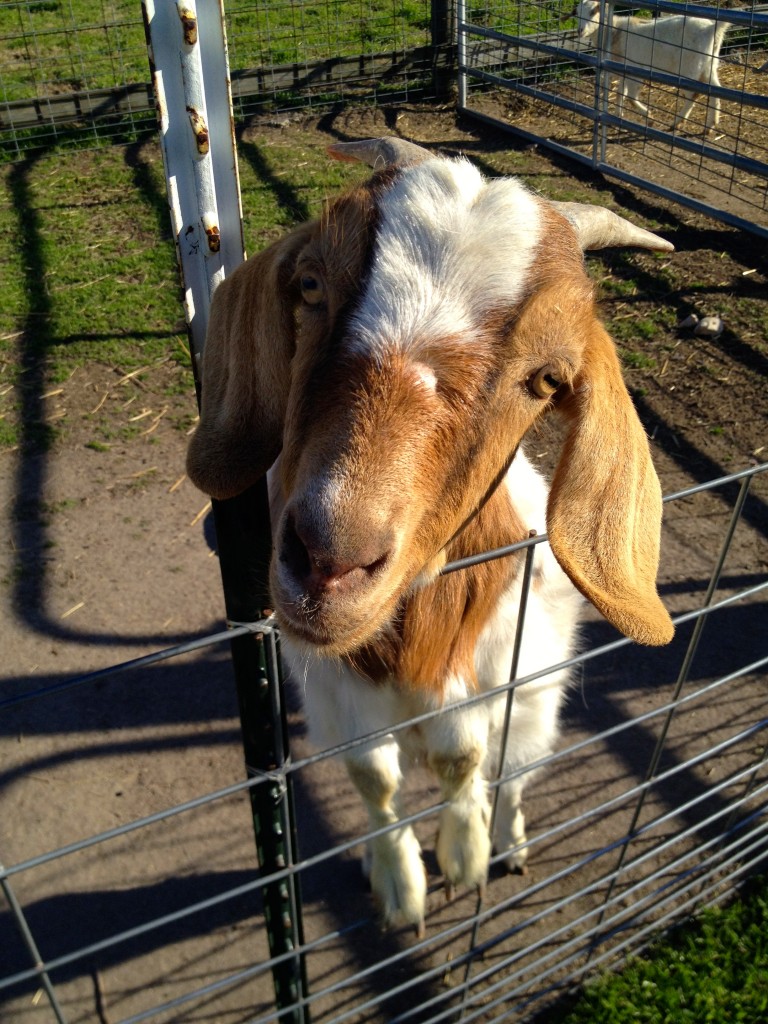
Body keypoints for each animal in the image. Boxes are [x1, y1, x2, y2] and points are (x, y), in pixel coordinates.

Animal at [189, 136, 675, 937]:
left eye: (546, 378)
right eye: (311, 285)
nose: (329, 559)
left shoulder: (492, 674)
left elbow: (463, 759)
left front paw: (467, 854)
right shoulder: (331, 693)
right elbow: (373, 776)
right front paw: (399, 887)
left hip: (537, 701)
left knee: (514, 775)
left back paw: (508, 843)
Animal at [577, 0, 733, 133]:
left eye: (593, 11)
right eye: (577, 13)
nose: (580, 30)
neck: (615, 32)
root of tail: (711, 28)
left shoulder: (635, 69)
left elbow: (631, 97)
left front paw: (649, 118)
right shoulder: (623, 70)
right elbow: (620, 94)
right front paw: (617, 116)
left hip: (689, 69)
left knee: (693, 95)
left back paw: (676, 123)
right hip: (708, 65)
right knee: (715, 91)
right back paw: (710, 125)